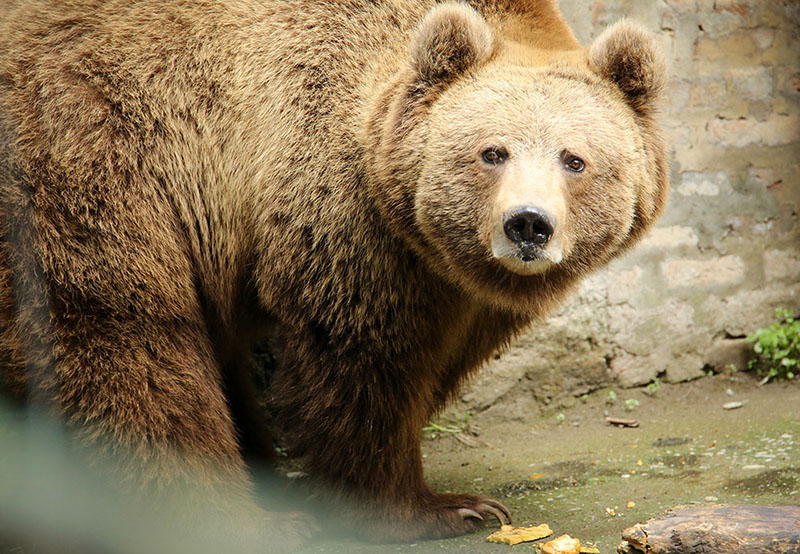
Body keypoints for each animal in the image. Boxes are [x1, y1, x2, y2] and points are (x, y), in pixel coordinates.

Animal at [0, 0, 668, 550]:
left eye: (574, 159)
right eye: (492, 152)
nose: (528, 225)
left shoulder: (457, 286)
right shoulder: (336, 205)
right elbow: (361, 359)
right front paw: (446, 507)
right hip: (84, 160)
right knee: (125, 341)